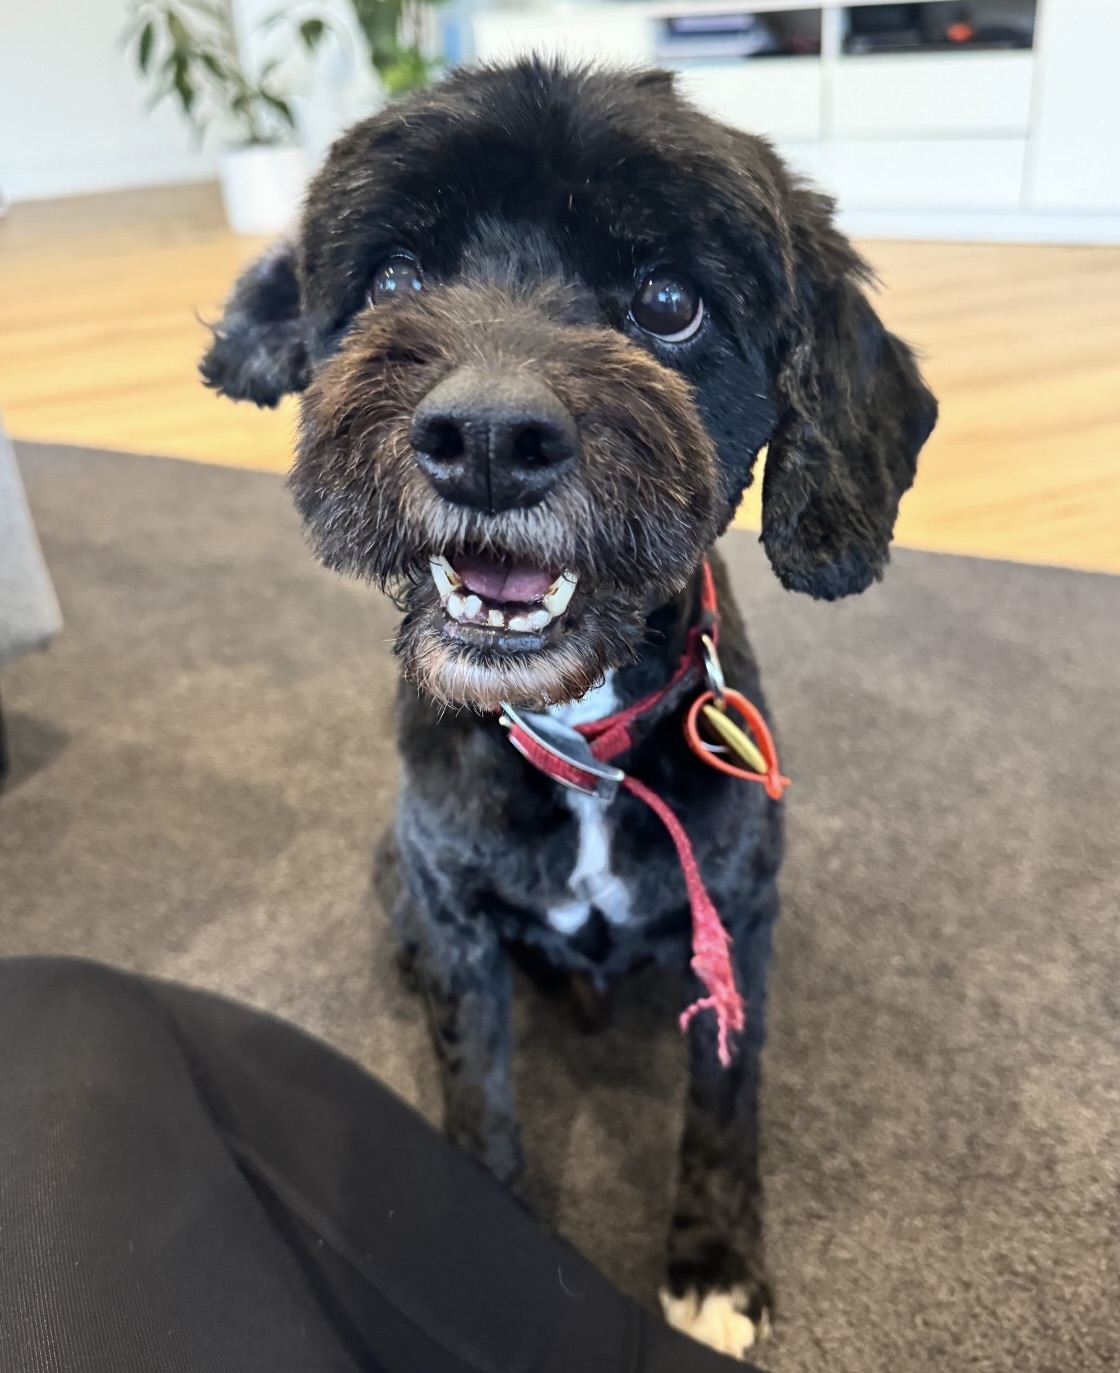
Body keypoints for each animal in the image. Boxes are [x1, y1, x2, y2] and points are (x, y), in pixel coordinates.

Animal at [201, 59, 938, 1356]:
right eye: (395, 277)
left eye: (669, 299)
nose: (487, 437)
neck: (579, 740)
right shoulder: (454, 911)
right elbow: (478, 1087)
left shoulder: (737, 913)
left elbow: (724, 1096)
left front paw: (714, 1262)